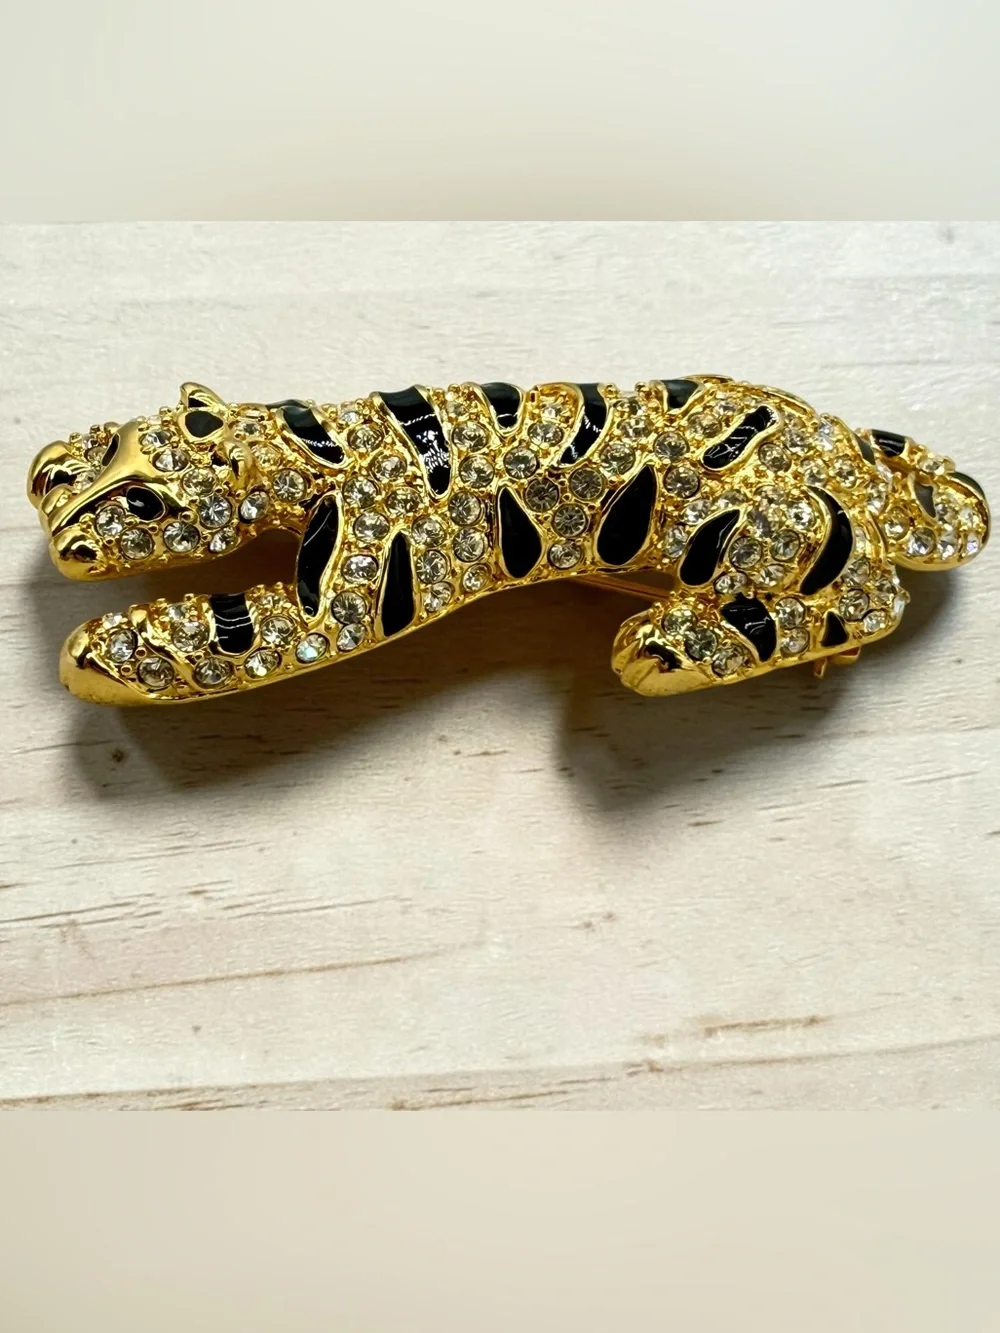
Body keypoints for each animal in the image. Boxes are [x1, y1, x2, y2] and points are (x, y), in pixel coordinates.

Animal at [27, 376, 990, 705]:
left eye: (147, 502)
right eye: (114, 461)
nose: (64, 539)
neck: (320, 442)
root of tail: (845, 448)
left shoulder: (362, 589)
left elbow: (251, 636)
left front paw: (117, 645)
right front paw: (53, 462)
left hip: (761, 527)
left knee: (875, 601)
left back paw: (676, 641)